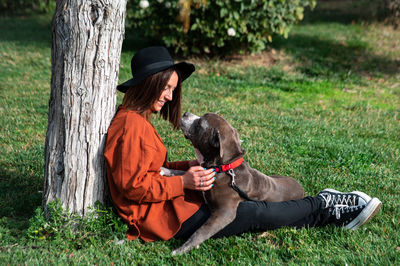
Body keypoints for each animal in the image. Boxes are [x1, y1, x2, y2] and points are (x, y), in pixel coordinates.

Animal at [170, 111, 304, 254]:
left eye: (200, 123)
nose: (186, 113)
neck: (225, 167)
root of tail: (301, 187)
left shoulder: (225, 213)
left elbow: (201, 231)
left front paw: (181, 250)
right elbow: (181, 173)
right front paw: (165, 170)